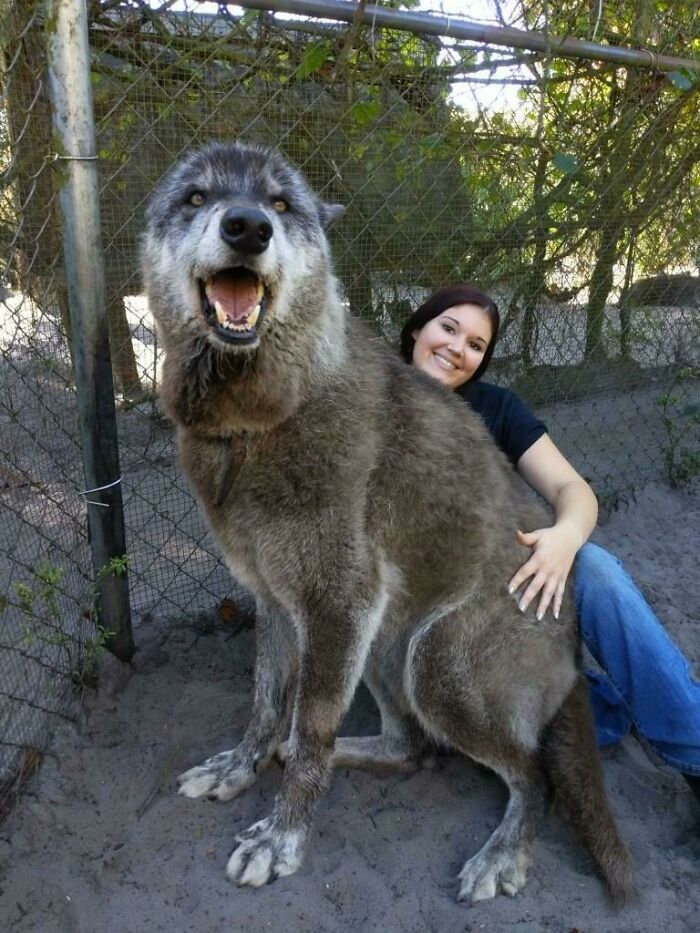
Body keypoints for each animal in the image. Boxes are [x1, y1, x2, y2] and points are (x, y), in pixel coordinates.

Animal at [141, 142, 635, 905]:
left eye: (281, 203)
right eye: (196, 197)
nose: (248, 227)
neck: (260, 419)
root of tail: (574, 650)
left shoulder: (338, 602)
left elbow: (310, 724)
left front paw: (282, 839)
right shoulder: (278, 602)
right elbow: (266, 702)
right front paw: (240, 767)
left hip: (433, 661)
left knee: (534, 776)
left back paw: (501, 853)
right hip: (382, 643)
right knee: (409, 748)